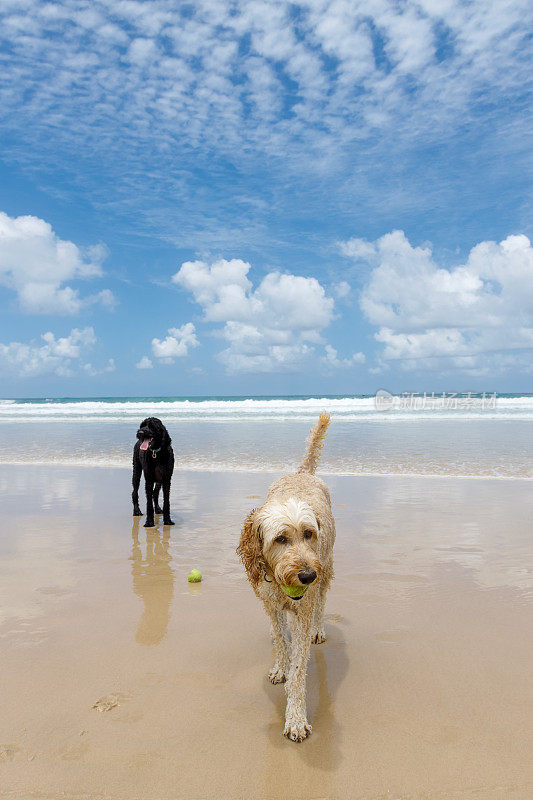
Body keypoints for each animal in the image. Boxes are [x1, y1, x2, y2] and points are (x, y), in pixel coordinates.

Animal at [236, 412, 332, 744]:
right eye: (280, 539)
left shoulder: (302, 608)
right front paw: (281, 665)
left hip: (328, 570)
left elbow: (300, 665)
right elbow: (280, 640)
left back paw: (318, 629)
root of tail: (301, 473)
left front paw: (296, 717)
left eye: (309, 534)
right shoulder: (271, 605)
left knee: (321, 603)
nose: (307, 575)